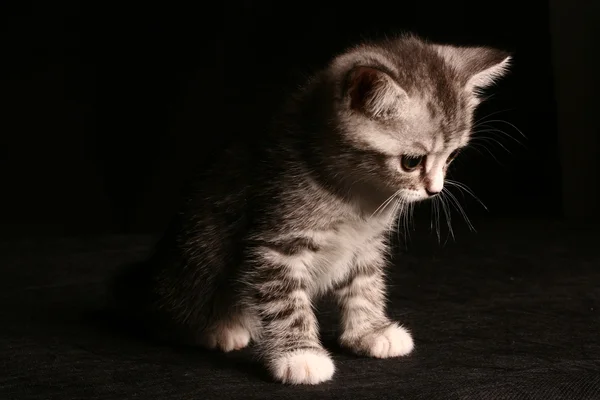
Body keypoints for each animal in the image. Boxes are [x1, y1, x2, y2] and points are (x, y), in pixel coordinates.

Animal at [117, 33, 510, 384]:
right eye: (411, 161)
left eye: (452, 157)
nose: (435, 190)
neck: (357, 196)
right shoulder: (277, 242)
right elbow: (287, 301)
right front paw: (300, 355)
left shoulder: (368, 243)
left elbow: (366, 283)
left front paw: (370, 330)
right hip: (192, 259)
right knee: (163, 313)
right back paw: (218, 327)